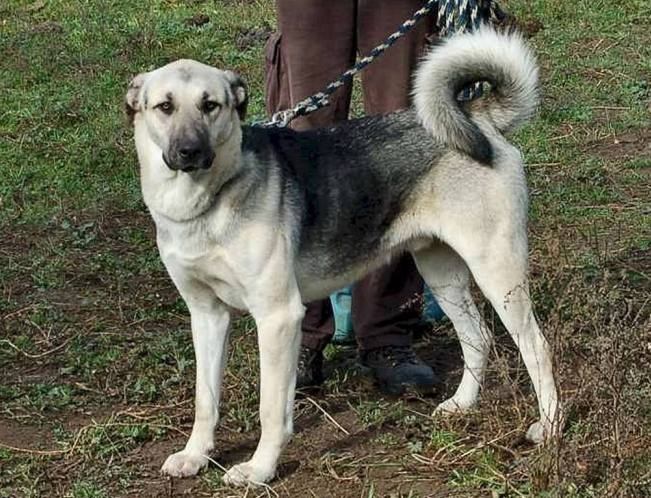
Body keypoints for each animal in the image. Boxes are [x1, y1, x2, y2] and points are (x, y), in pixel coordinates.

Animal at [126, 27, 560, 486]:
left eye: (211, 105)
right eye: (164, 107)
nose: (189, 151)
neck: (204, 204)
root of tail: (477, 116)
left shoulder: (277, 317)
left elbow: (270, 407)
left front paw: (260, 468)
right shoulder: (207, 316)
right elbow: (205, 399)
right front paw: (196, 455)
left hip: (497, 270)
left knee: (536, 347)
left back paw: (549, 429)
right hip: (441, 272)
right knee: (477, 337)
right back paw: (463, 404)